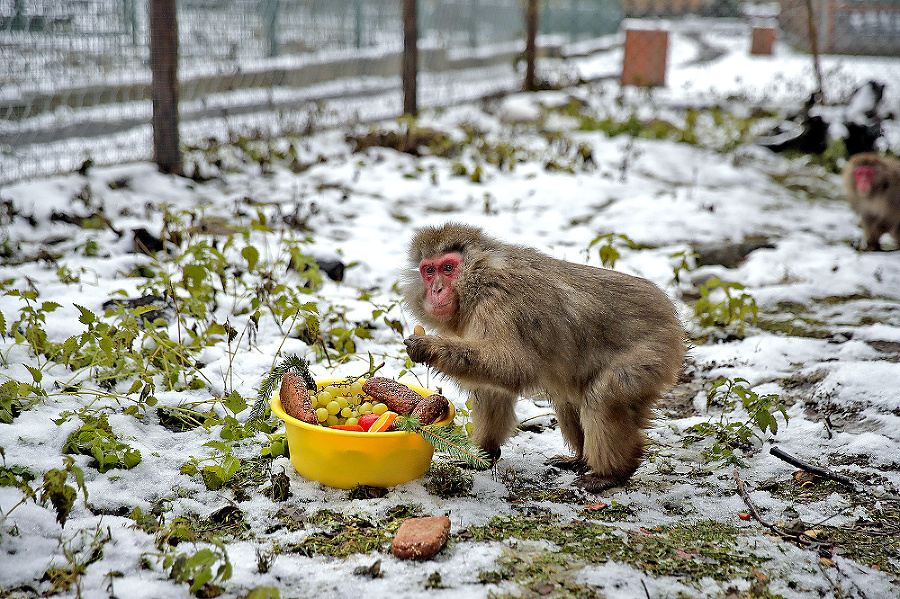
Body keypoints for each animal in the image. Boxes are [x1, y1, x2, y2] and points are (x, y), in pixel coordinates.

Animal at [400, 225, 684, 492]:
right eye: (429, 270)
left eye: (448, 268)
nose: (436, 289)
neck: (478, 277)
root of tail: (673, 317)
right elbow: (492, 389)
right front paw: (483, 455)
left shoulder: (498, 299)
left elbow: (513, 365)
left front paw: (428, 347)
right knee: (568, 399)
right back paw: (581, 459)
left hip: (651, 353)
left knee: (603, 397)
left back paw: (610, 474)